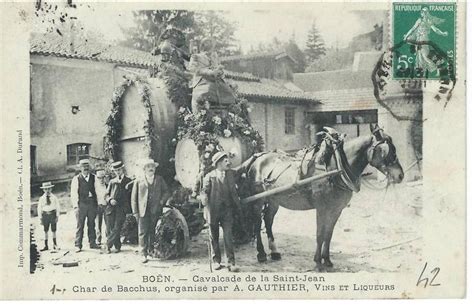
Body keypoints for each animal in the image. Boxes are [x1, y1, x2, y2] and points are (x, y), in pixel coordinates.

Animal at [244, 123, 404, 268]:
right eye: (386, 150)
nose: (400, 176)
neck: (335, 168)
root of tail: (258, 158)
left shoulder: (336, 209)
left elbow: (329, 234)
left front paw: (326, 259)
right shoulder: (322, 208)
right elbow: (320, 234)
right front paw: (317, 262)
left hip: (274, 200)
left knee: (268, 221)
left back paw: (274, 252)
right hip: (258, 200)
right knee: (257, 223)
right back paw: (261, 254)